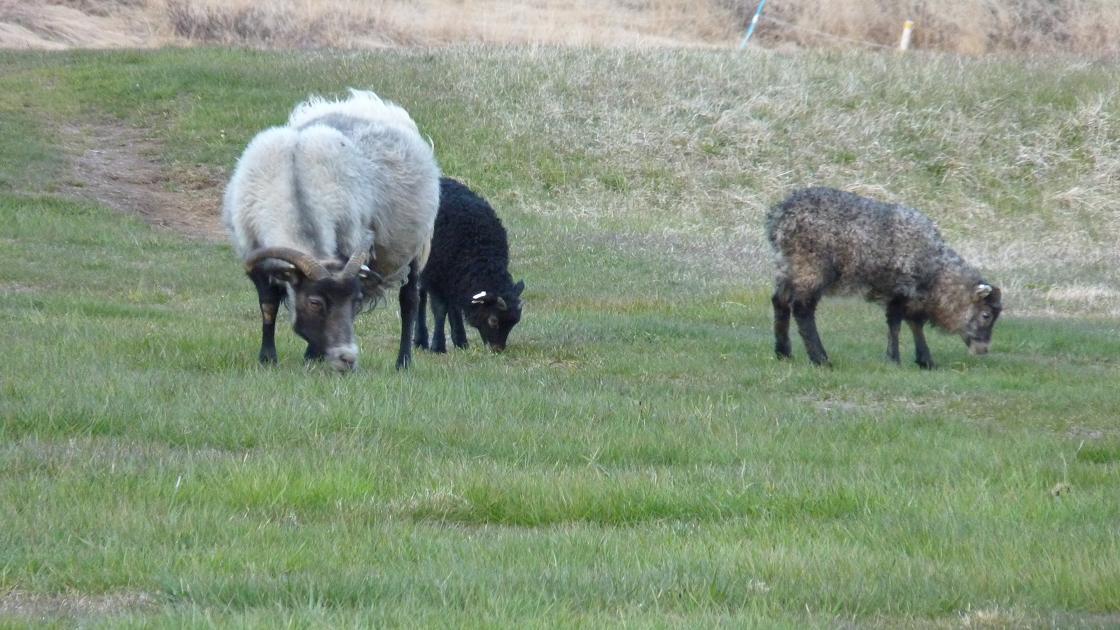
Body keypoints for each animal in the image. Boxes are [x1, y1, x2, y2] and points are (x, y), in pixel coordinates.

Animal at [222, 89, 440, 372]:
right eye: (315, 302)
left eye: (355, 302)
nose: (348, 358)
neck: (293, 187)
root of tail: (366, 102)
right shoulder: (257, 256)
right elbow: (268, 307)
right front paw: (268, 359)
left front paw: (312, 356)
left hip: (416, 245)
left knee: (409, 301)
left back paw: (403, 362)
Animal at [414, 177, 525, 353]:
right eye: (493, 320)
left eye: (514, 322)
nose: (497, 350)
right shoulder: (437, 275)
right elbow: (440, 309)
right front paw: (438, 346)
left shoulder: (455, 277)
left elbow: (454, 306)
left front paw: (461, 342)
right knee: (420, 296)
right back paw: (420, 340)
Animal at [766, 187, 1002, 368]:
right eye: (986, 315)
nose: (983, 349)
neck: (936, 271)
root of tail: (779, 217)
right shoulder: (900, 289)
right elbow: (896, 323)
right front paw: (894, 359)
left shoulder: (912, 296)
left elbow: (915, 323)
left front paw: (925, 361)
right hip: (810, 266)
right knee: (802, 310)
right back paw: (821, 359)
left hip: (787, 265)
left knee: (780, 302)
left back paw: (783, 353)